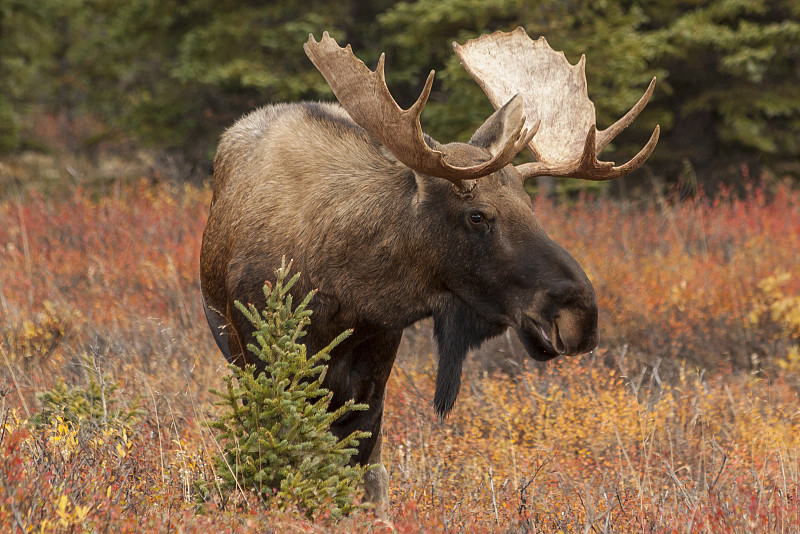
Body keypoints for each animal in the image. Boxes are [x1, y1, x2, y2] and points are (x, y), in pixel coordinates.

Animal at [197, 28, 660, 510]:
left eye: (530, 205)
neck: (344, 289)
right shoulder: (263, 354)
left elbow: (366, 475)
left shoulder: (377, 358)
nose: (581, 314)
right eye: (477, 215)